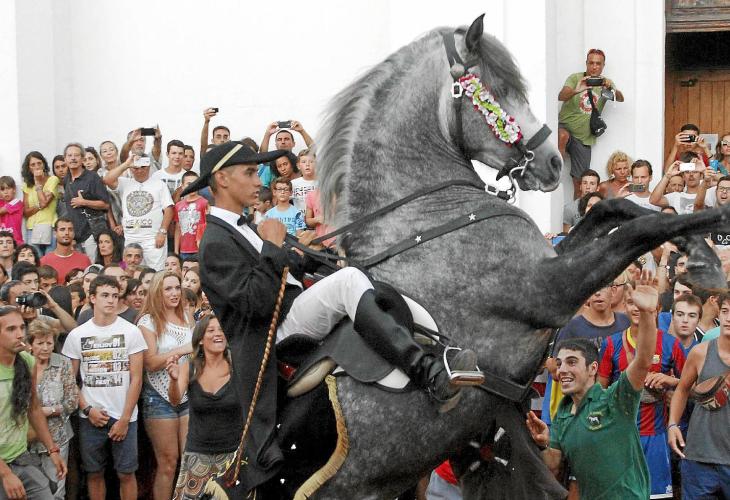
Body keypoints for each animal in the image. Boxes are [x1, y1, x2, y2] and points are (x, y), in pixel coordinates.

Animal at [264, 13, 724, 498]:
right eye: (500, 89)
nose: (554, 163)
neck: (424, 220)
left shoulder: (554, 262)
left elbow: (614, 209)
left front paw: (702, 257)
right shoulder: (546, 290)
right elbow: (638, 229)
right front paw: (714, 236)